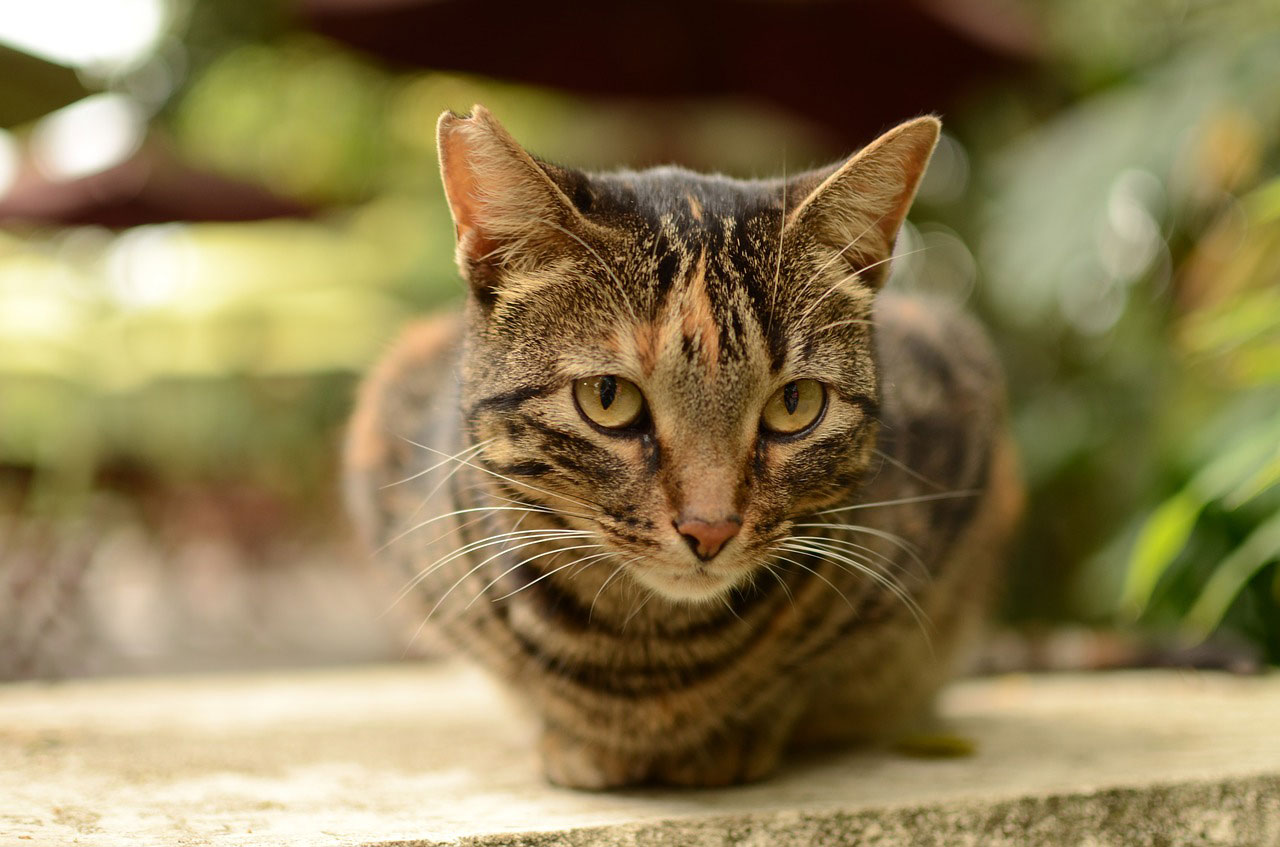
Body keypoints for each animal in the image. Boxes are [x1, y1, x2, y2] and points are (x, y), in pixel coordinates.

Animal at [345, 106, 1024, 788]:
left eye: (795, 403)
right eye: (607, 397)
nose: (710, 528)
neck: (649, 656)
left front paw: (732, 736)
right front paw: (575, 737)